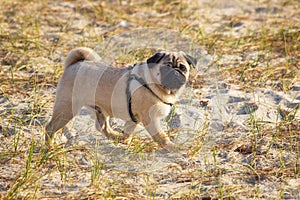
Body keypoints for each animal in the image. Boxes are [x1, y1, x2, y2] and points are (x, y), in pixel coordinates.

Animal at [45, 47, 197, 150]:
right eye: (166, 68)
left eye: (183, 68)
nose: (175, 73)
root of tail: (74, 64)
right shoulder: (150, 119)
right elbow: (161, 136)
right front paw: (172, 147)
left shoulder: (133, 119)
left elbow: (128, 133)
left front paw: (124, 140)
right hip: (67, 109)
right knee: (50, 128)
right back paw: (49, 147)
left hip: (99, 110)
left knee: (103, 127)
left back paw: (116, 137)